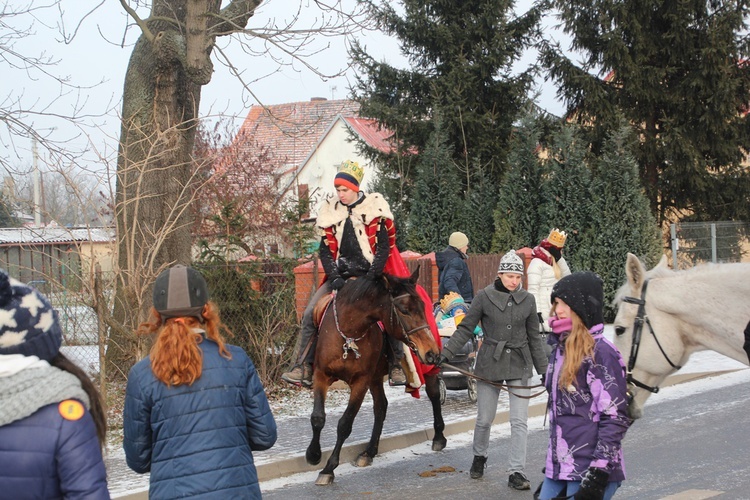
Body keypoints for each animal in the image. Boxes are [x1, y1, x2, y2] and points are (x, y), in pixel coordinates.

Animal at [306, 270, 446, 484]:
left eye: (422, 307)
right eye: (404, 310)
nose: (431, 352)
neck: (348, 334)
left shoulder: (360, 382)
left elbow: (345, 424)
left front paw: (329, 468)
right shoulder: (322, 375)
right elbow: (317, 418)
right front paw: (313, 455)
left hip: (422, 370)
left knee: (434, 395)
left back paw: (439, 437)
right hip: (375, 377)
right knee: (381, 407)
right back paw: (369, 452)